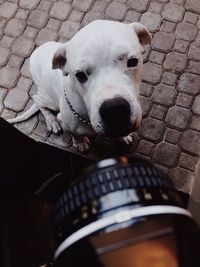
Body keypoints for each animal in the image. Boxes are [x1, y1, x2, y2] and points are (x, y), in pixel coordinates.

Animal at [8, 19, 152, 152]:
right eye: (80, 75)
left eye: (133, 61)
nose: (114, 109)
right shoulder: (66, 122)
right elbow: (75, 135)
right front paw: (80, 143)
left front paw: (124, 136)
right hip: (50, 100)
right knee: (37, 99)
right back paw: (51, 120)